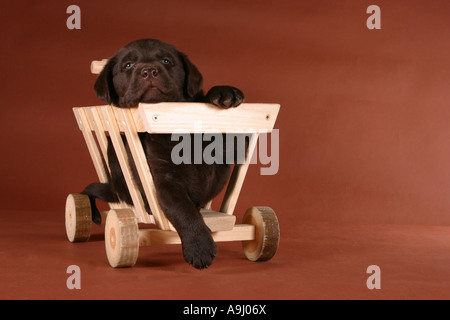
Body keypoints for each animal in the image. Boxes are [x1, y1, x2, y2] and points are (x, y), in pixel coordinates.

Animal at [81, 40, 243, 270]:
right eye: (128, 65)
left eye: (166, 60)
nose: (149, 71)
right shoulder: (166, 184)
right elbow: (184, 211)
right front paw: (199, 247)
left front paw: (224, 92)